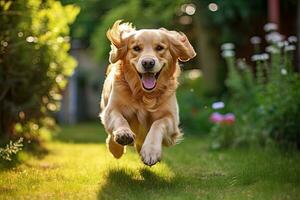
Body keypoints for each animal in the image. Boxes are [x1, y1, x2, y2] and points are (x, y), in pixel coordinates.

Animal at [99, 19, 196, 166]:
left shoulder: (172, 120)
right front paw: (123, 135)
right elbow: (119, 118)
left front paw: (151, 151)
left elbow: (158, 124)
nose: (148, 63)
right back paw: (115, 148)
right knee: (110, 136)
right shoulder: (111, 109)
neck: (145, 95)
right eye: (136, 48)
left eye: (160, 48)